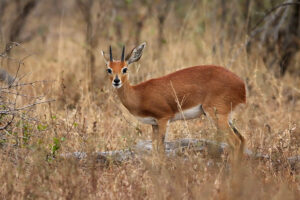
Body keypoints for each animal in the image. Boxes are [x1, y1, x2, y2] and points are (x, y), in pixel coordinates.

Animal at [101, 42, 246, 159]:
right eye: (109, 69)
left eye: (125, 69)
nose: (116, 81)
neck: (139, 94)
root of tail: (241, 85)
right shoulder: (154, 124)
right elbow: (154, 149)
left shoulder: (163, 119)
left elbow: (161, 149)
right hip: (226, 117)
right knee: (242, 139)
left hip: (216, 114)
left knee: (235, 142)